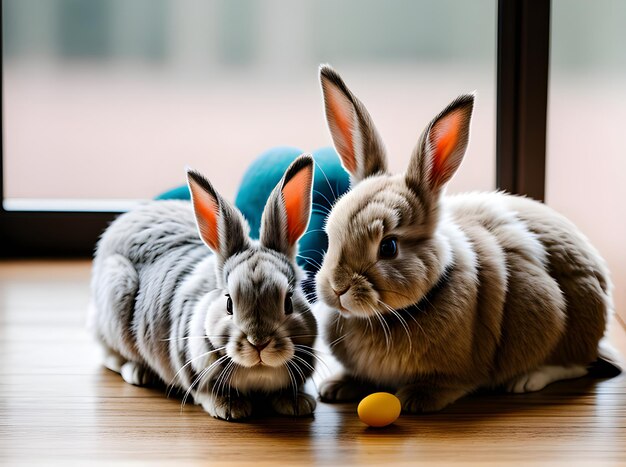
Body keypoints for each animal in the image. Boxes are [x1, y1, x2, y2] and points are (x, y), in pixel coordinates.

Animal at [89, 155, 316, 422]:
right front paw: (230, 408)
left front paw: (299, 404)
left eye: (288, 301)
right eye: (229, 303)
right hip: (116, 295)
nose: (259, 343)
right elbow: (204, 393)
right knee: (110, 355)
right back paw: (139, 372)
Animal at [314, 65, 616, 414]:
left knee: (576, 363)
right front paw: (335, 386)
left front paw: (415, 399)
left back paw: (526, 380)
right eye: (330, 233)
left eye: (388, 247)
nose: (338, 288)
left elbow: (448, 384)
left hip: (565, 320)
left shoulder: (457, 375)